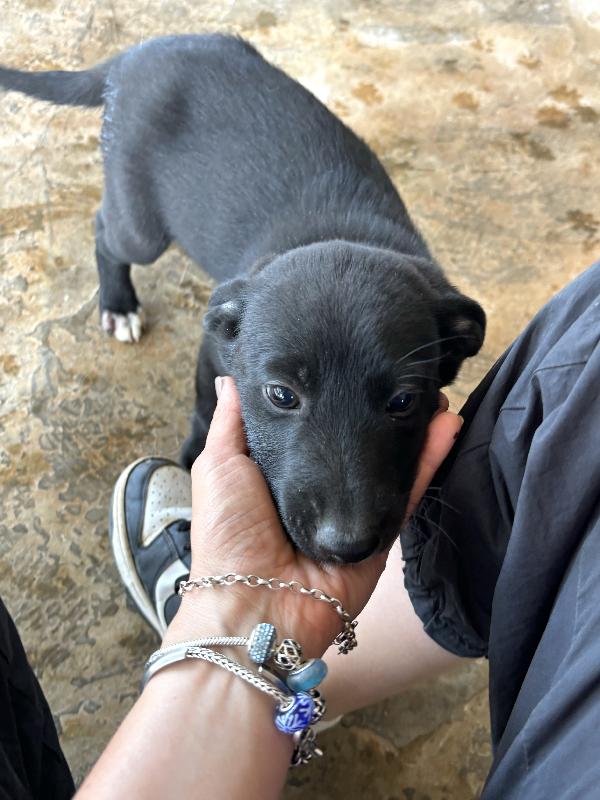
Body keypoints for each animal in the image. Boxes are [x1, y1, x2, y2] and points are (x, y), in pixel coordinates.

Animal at [0, 34, 485, 563]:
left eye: (403, 401)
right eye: (281, 395)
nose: (345, 546)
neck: (341, 235)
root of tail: (137, 53)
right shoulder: (213, 349)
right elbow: (203, 405)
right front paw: (195, 455)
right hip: (140, 226)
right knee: (105, 230)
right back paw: (118, 303)